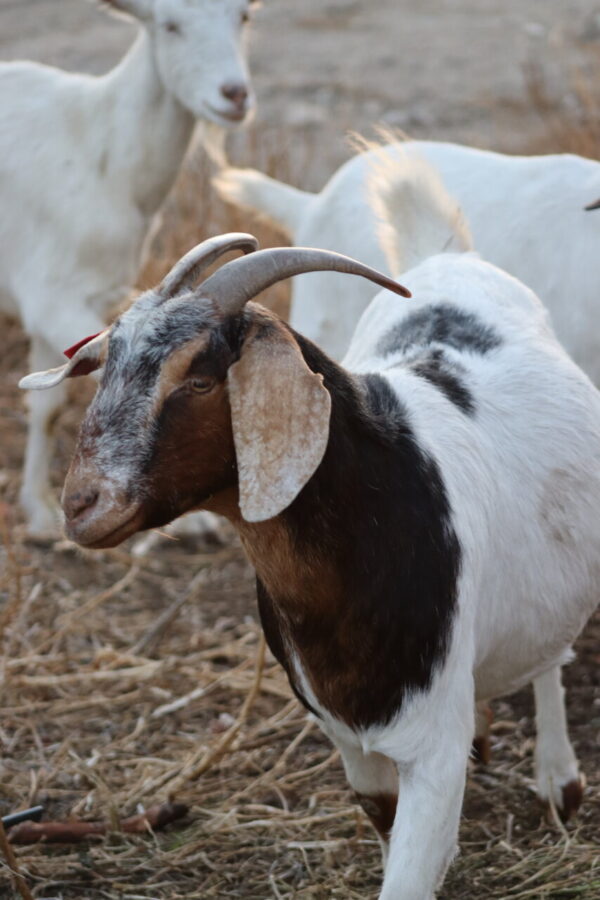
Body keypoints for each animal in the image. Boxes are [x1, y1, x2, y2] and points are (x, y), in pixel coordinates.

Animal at [0, 0, 258, 536]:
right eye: (170, 25)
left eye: (244, 15)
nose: (234, 94)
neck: (102, 154)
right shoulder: (51, 296)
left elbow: (45, 406)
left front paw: (36, 506)